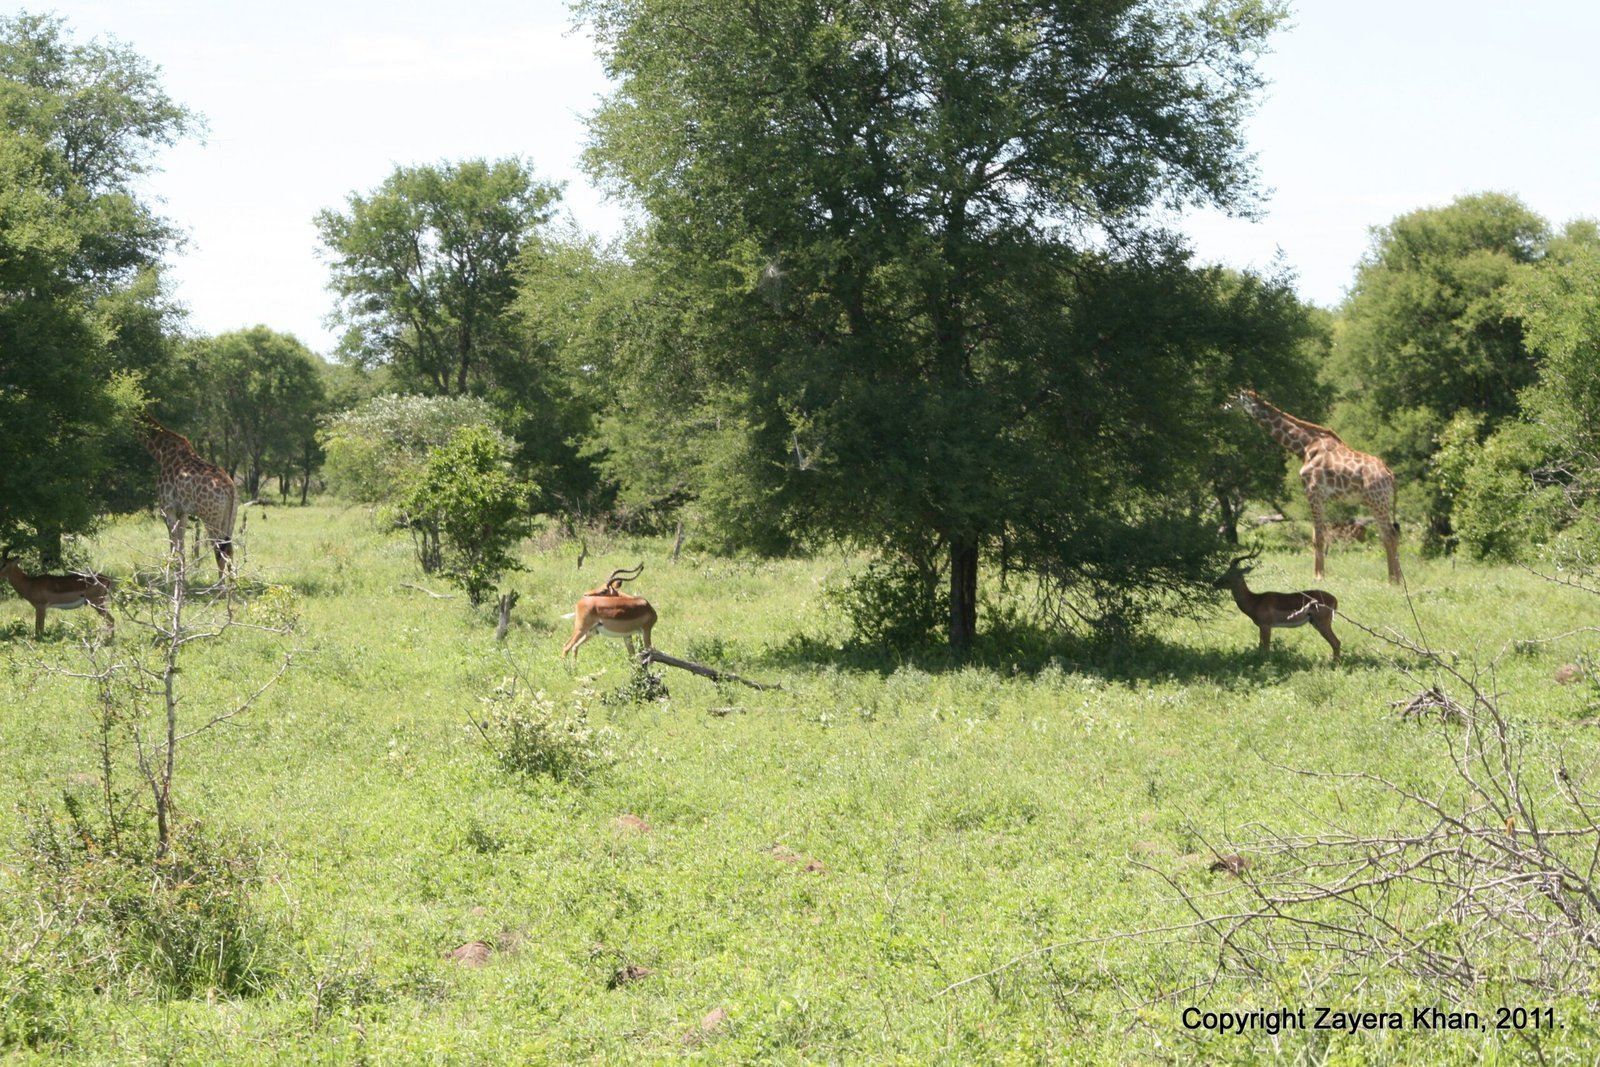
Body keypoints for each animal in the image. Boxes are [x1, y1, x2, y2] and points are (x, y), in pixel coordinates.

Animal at [137, 411, 239, 579]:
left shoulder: (167, 508)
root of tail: (230, 489)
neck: (162, 453)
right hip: (230, 518)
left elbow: (173, 548)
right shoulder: (182, 511)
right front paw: (180, 580)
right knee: (229, 550)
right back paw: (233, 586)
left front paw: (170, 580)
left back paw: (221, 586)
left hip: (210, 517)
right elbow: (182, 550)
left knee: (219, 552)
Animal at [1234, 389, 1402, 584]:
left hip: (1377, 501)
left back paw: (1395, 581)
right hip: (1376, 502)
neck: (1305, 447)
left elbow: (1319, 537)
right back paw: (1395, 579)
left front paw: (1319, 577)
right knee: (1388, 535)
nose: (1223, 405)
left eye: (1233, 398)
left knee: (1390, 535)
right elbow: (1316, 535)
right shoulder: (1320, 497)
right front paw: (1317, 574)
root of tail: (1391, 475)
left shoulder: (1312, 491)